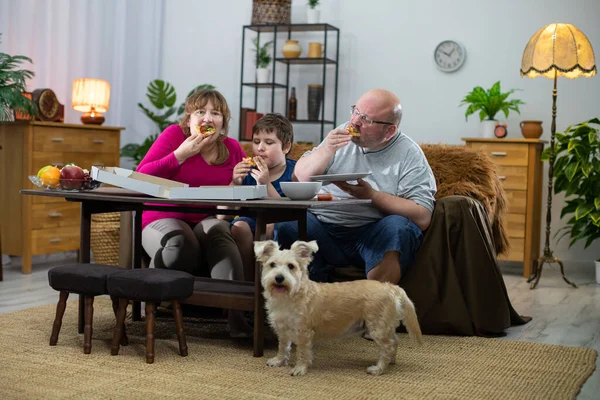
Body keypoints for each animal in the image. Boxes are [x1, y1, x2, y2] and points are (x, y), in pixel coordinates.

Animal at [253, 239, 422, 376]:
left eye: (291, 266)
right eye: (272, 264)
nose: (279, 278)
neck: (289, 297)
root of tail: (390, 287)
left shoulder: (303, 332)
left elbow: (302, 352)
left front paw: (300, 369)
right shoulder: (282, 330)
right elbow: (282, 347)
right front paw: (278, 361)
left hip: (377, 328)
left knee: (388, 347)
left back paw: (378, 369)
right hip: (385, 326)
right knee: (395, 341)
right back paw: (391, 361)